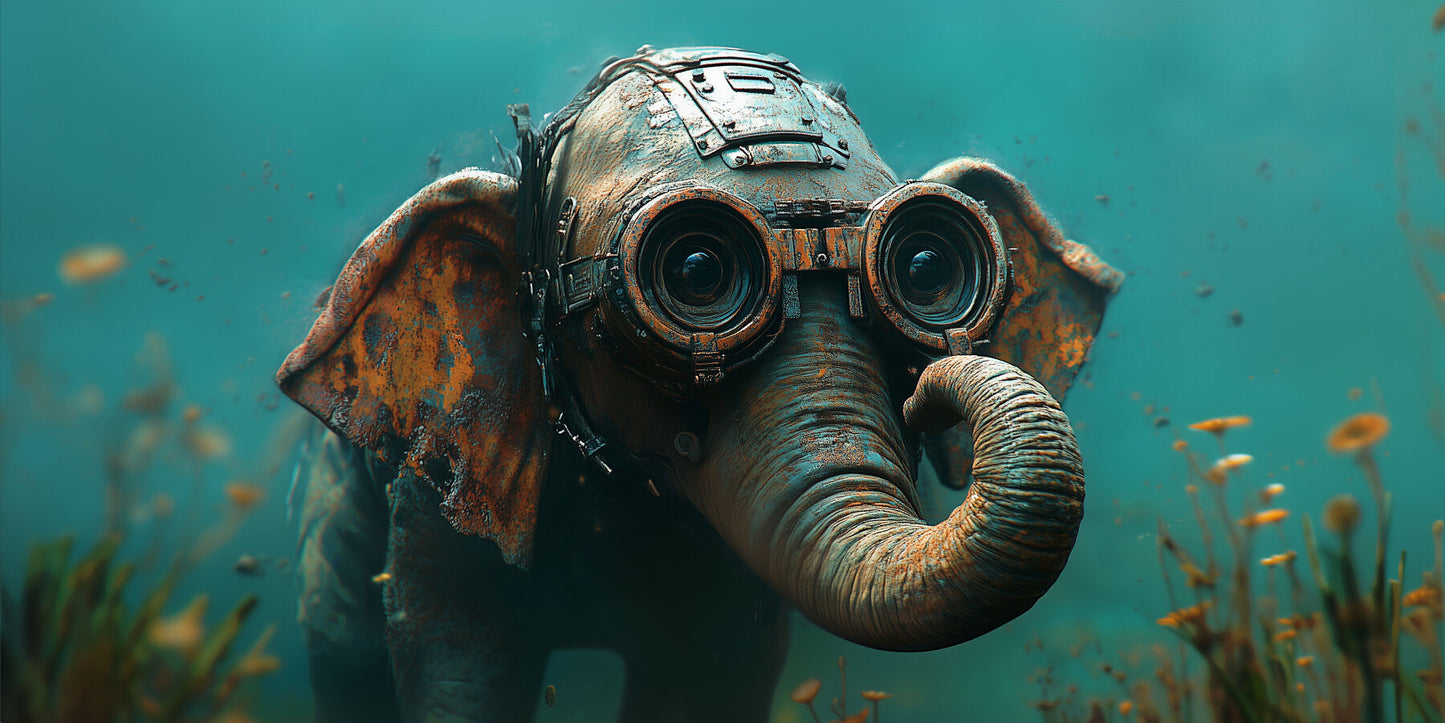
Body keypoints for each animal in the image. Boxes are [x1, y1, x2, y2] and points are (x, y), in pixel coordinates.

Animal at [277, 45, 1123, 722]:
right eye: (694, 269)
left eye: (923, 267)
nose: (932, 383)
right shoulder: (446, 491)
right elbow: (459, 669)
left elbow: (704, 679)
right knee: (342, 648)